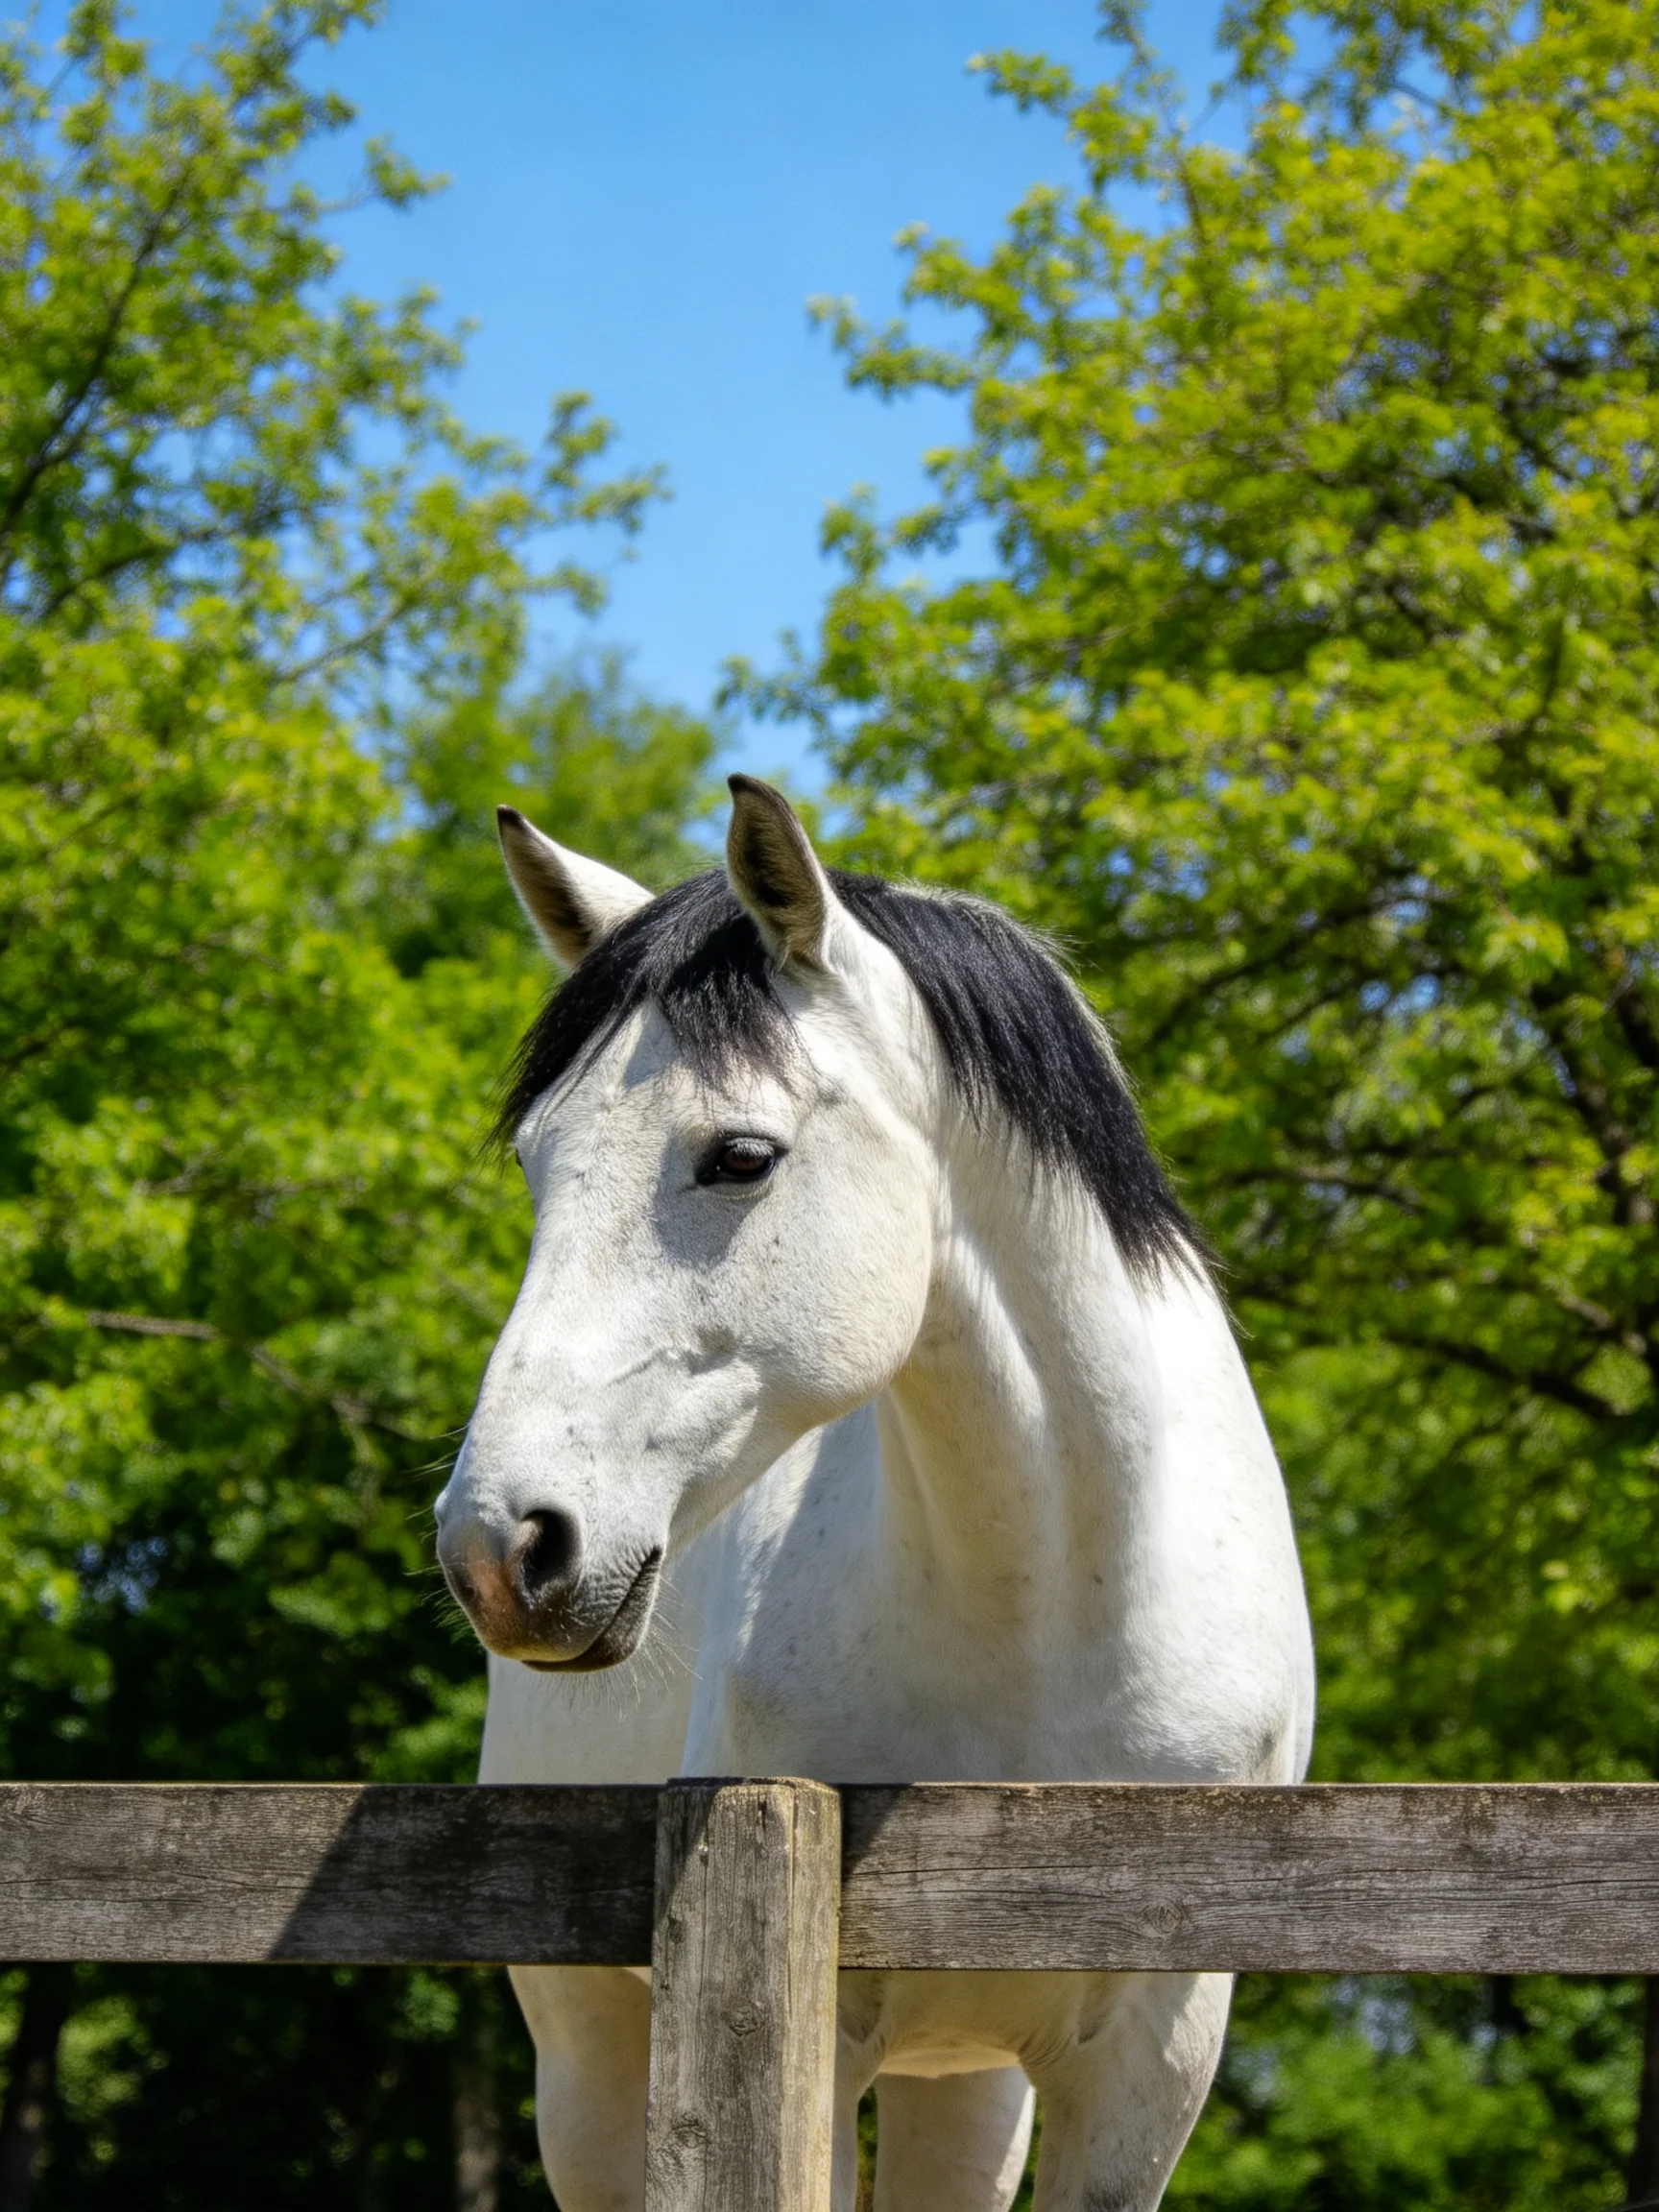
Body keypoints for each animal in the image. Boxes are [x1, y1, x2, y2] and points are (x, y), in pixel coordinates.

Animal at [435, 775, 1314, 2212]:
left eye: (740, 1156)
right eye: (537, 1167)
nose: (502, 1547)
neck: (1053, 1605)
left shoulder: (1152, 2062)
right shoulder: (802, 2032)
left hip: (967, 2081)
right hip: (593, 2053)